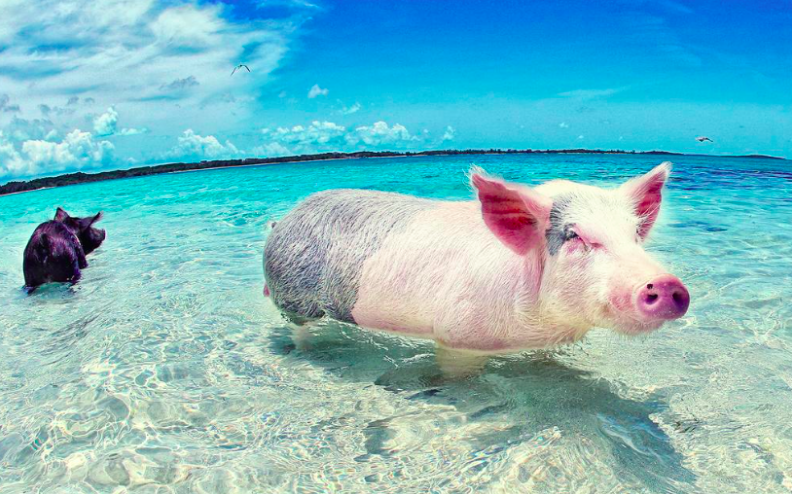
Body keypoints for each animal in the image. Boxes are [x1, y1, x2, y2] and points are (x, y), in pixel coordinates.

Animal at [263, 162, 689, 354]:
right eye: (575, 237)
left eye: (634, 236)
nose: (669, 285)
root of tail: (282, 221)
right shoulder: (458, 334)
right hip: (293, 294)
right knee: (298, 327)